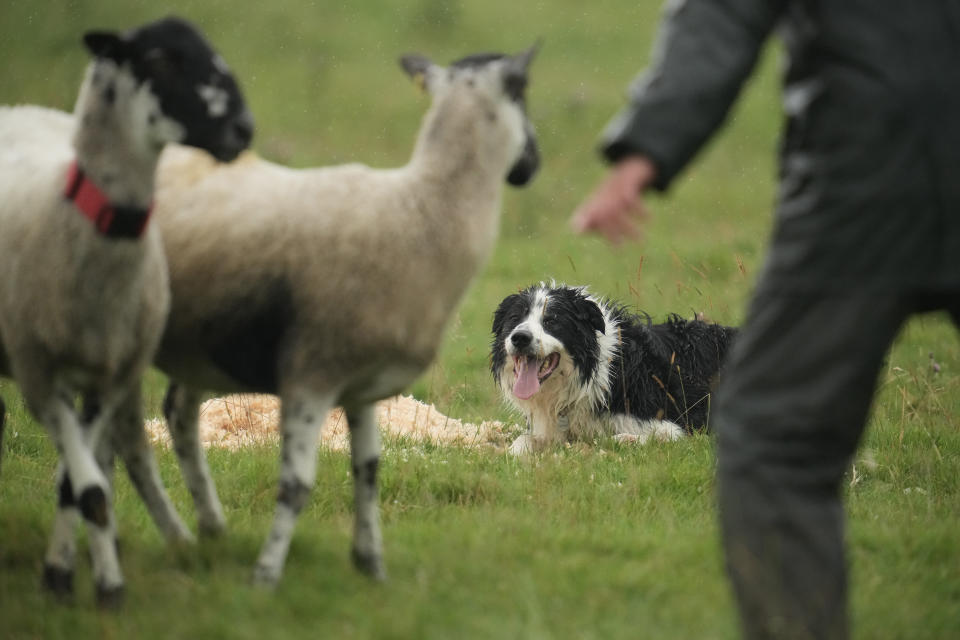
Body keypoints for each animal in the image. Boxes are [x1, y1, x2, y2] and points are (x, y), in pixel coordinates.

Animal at [0, 15, 253, 604]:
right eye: (160, 60)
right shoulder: (39, 376)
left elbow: (77, 483)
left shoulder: (109, 376)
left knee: (118, 454)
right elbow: (85, 483)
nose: (242, 129)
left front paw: (77, 575)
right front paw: (83, 581)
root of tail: (18, 109)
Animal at [492, 282, 740, 452]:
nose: (520, 338)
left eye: (551, 321)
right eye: (514, 320)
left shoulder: (682, 423)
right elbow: (522, 441)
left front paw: (624, 440)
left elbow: (655, 436)